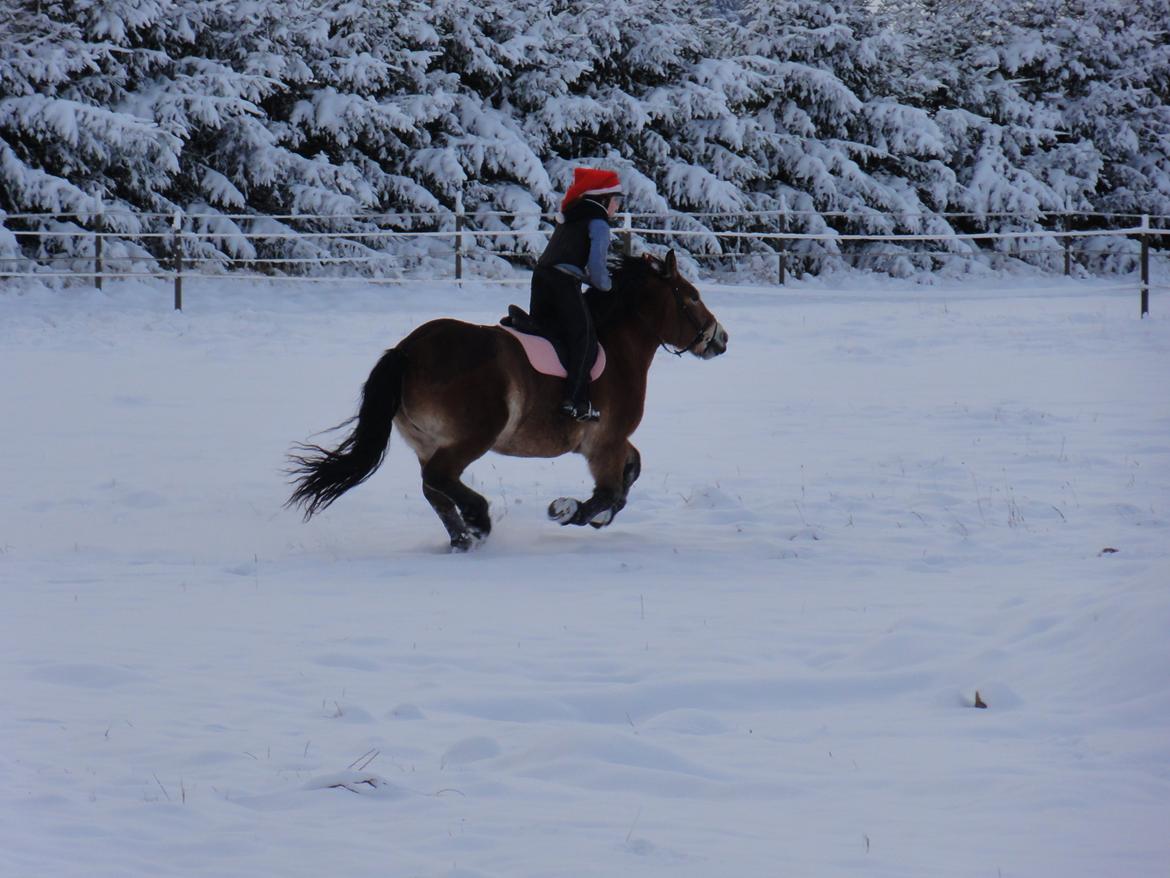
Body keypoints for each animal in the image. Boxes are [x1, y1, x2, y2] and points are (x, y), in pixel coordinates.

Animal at [286, 249, 725, 550]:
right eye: (691, 296)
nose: (720, 338)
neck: (616, 347)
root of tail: (408, 350)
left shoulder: (606, 443)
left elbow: (631, 471)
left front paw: (595, 517)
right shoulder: (605, 442)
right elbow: (611, 489)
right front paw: (570, 510)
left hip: (426, 441)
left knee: (434, 490)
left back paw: (463, 537)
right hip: (473, 436)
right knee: (439, 479)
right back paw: (478, 521)